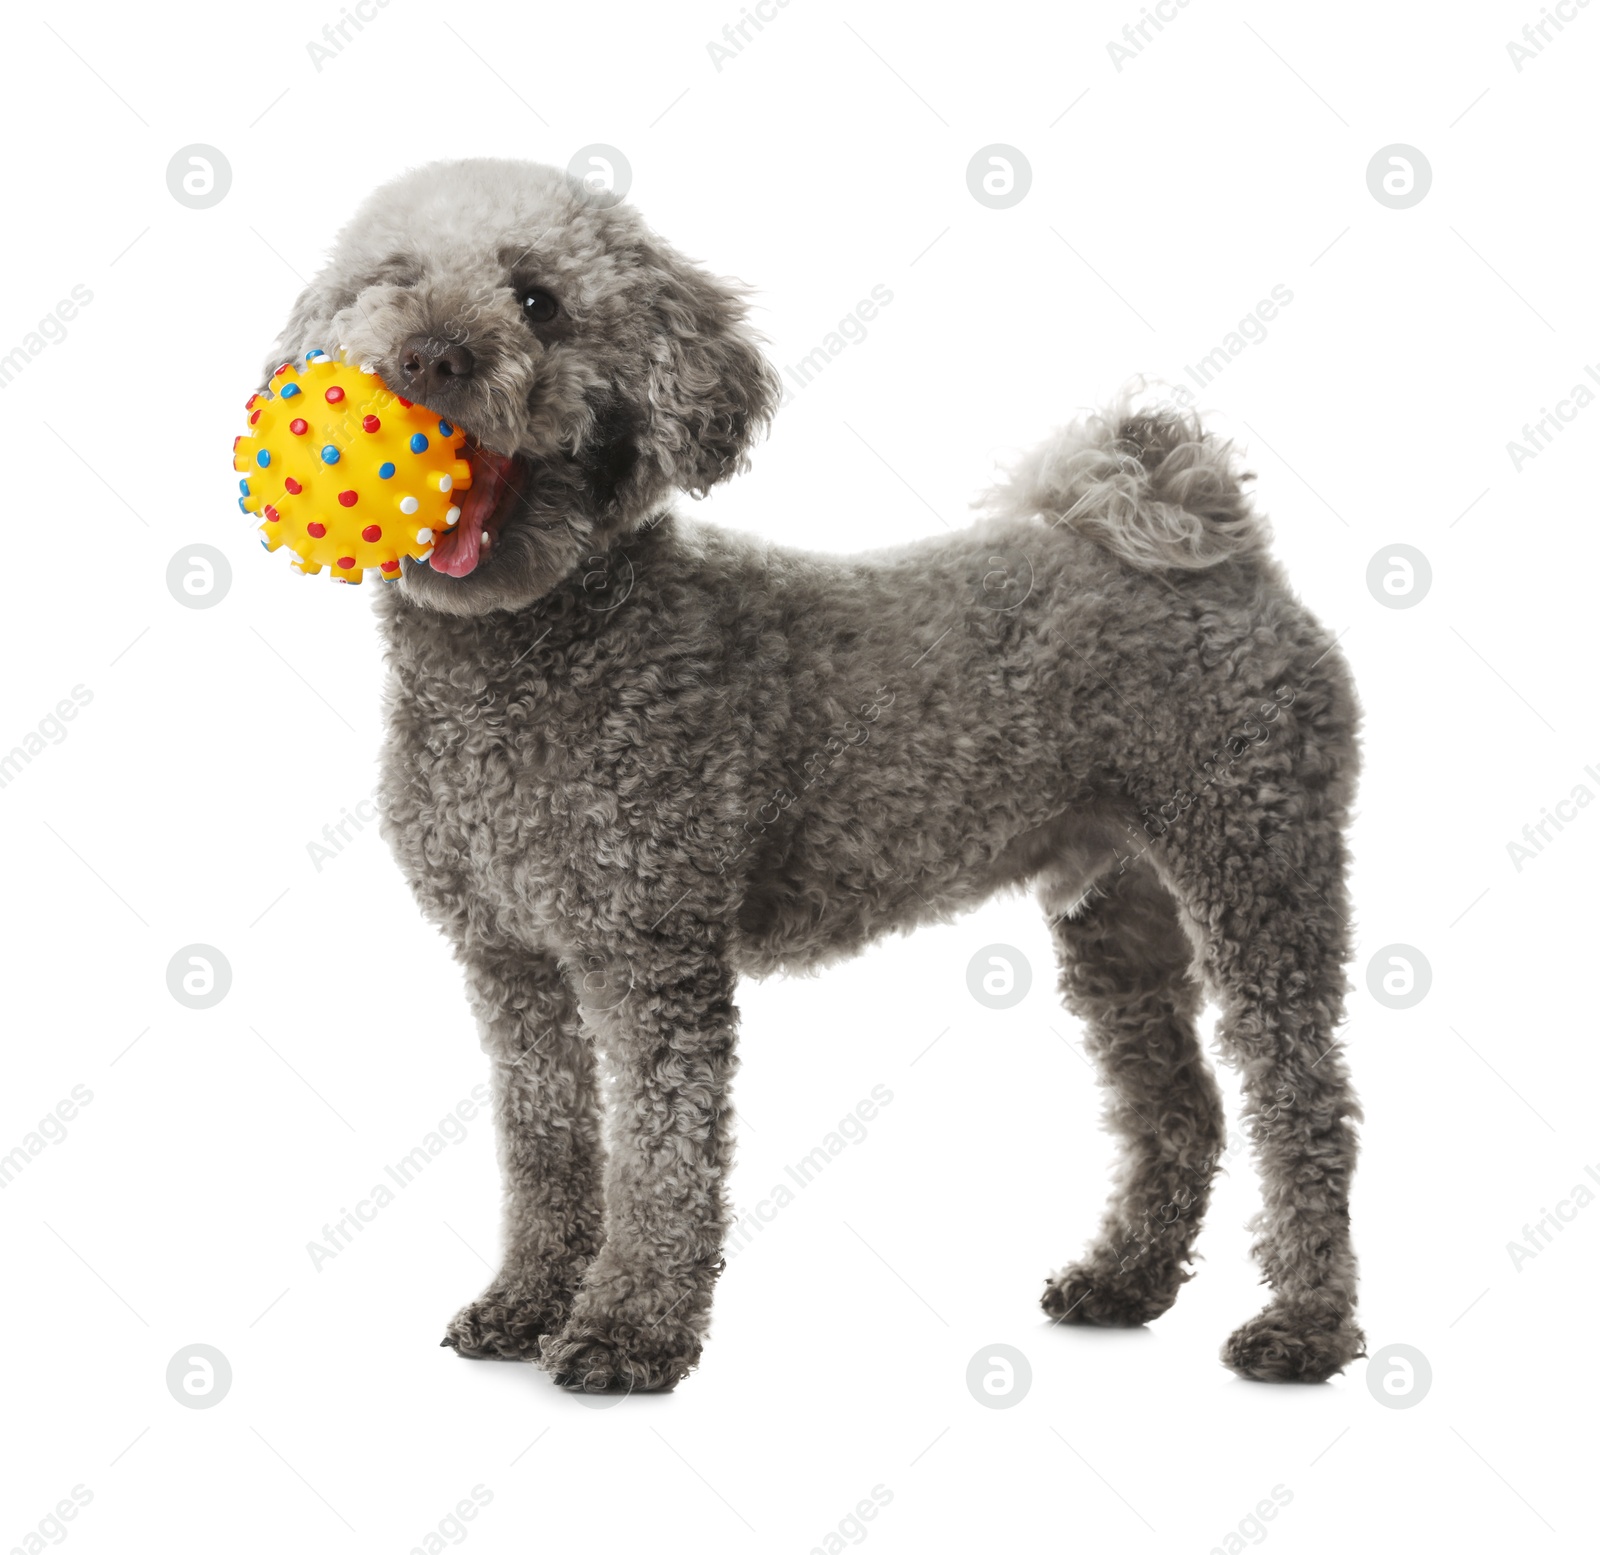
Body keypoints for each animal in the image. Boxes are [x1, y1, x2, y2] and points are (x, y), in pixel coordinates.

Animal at [262, 160, 1363, 1395]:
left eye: (539, 299)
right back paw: (1124, 1279)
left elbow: (661, 1155)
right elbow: (544, 1147)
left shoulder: (652, 953)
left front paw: (628, 1328)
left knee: (1304, 1104)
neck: (538, 652)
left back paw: (1306, 1325)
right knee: (1180, 1106)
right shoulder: (511, 961)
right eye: (389, 282)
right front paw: (526, 1302)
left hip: (1257, 862)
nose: (431, 357)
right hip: (1115, 906)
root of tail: (1211, 537)